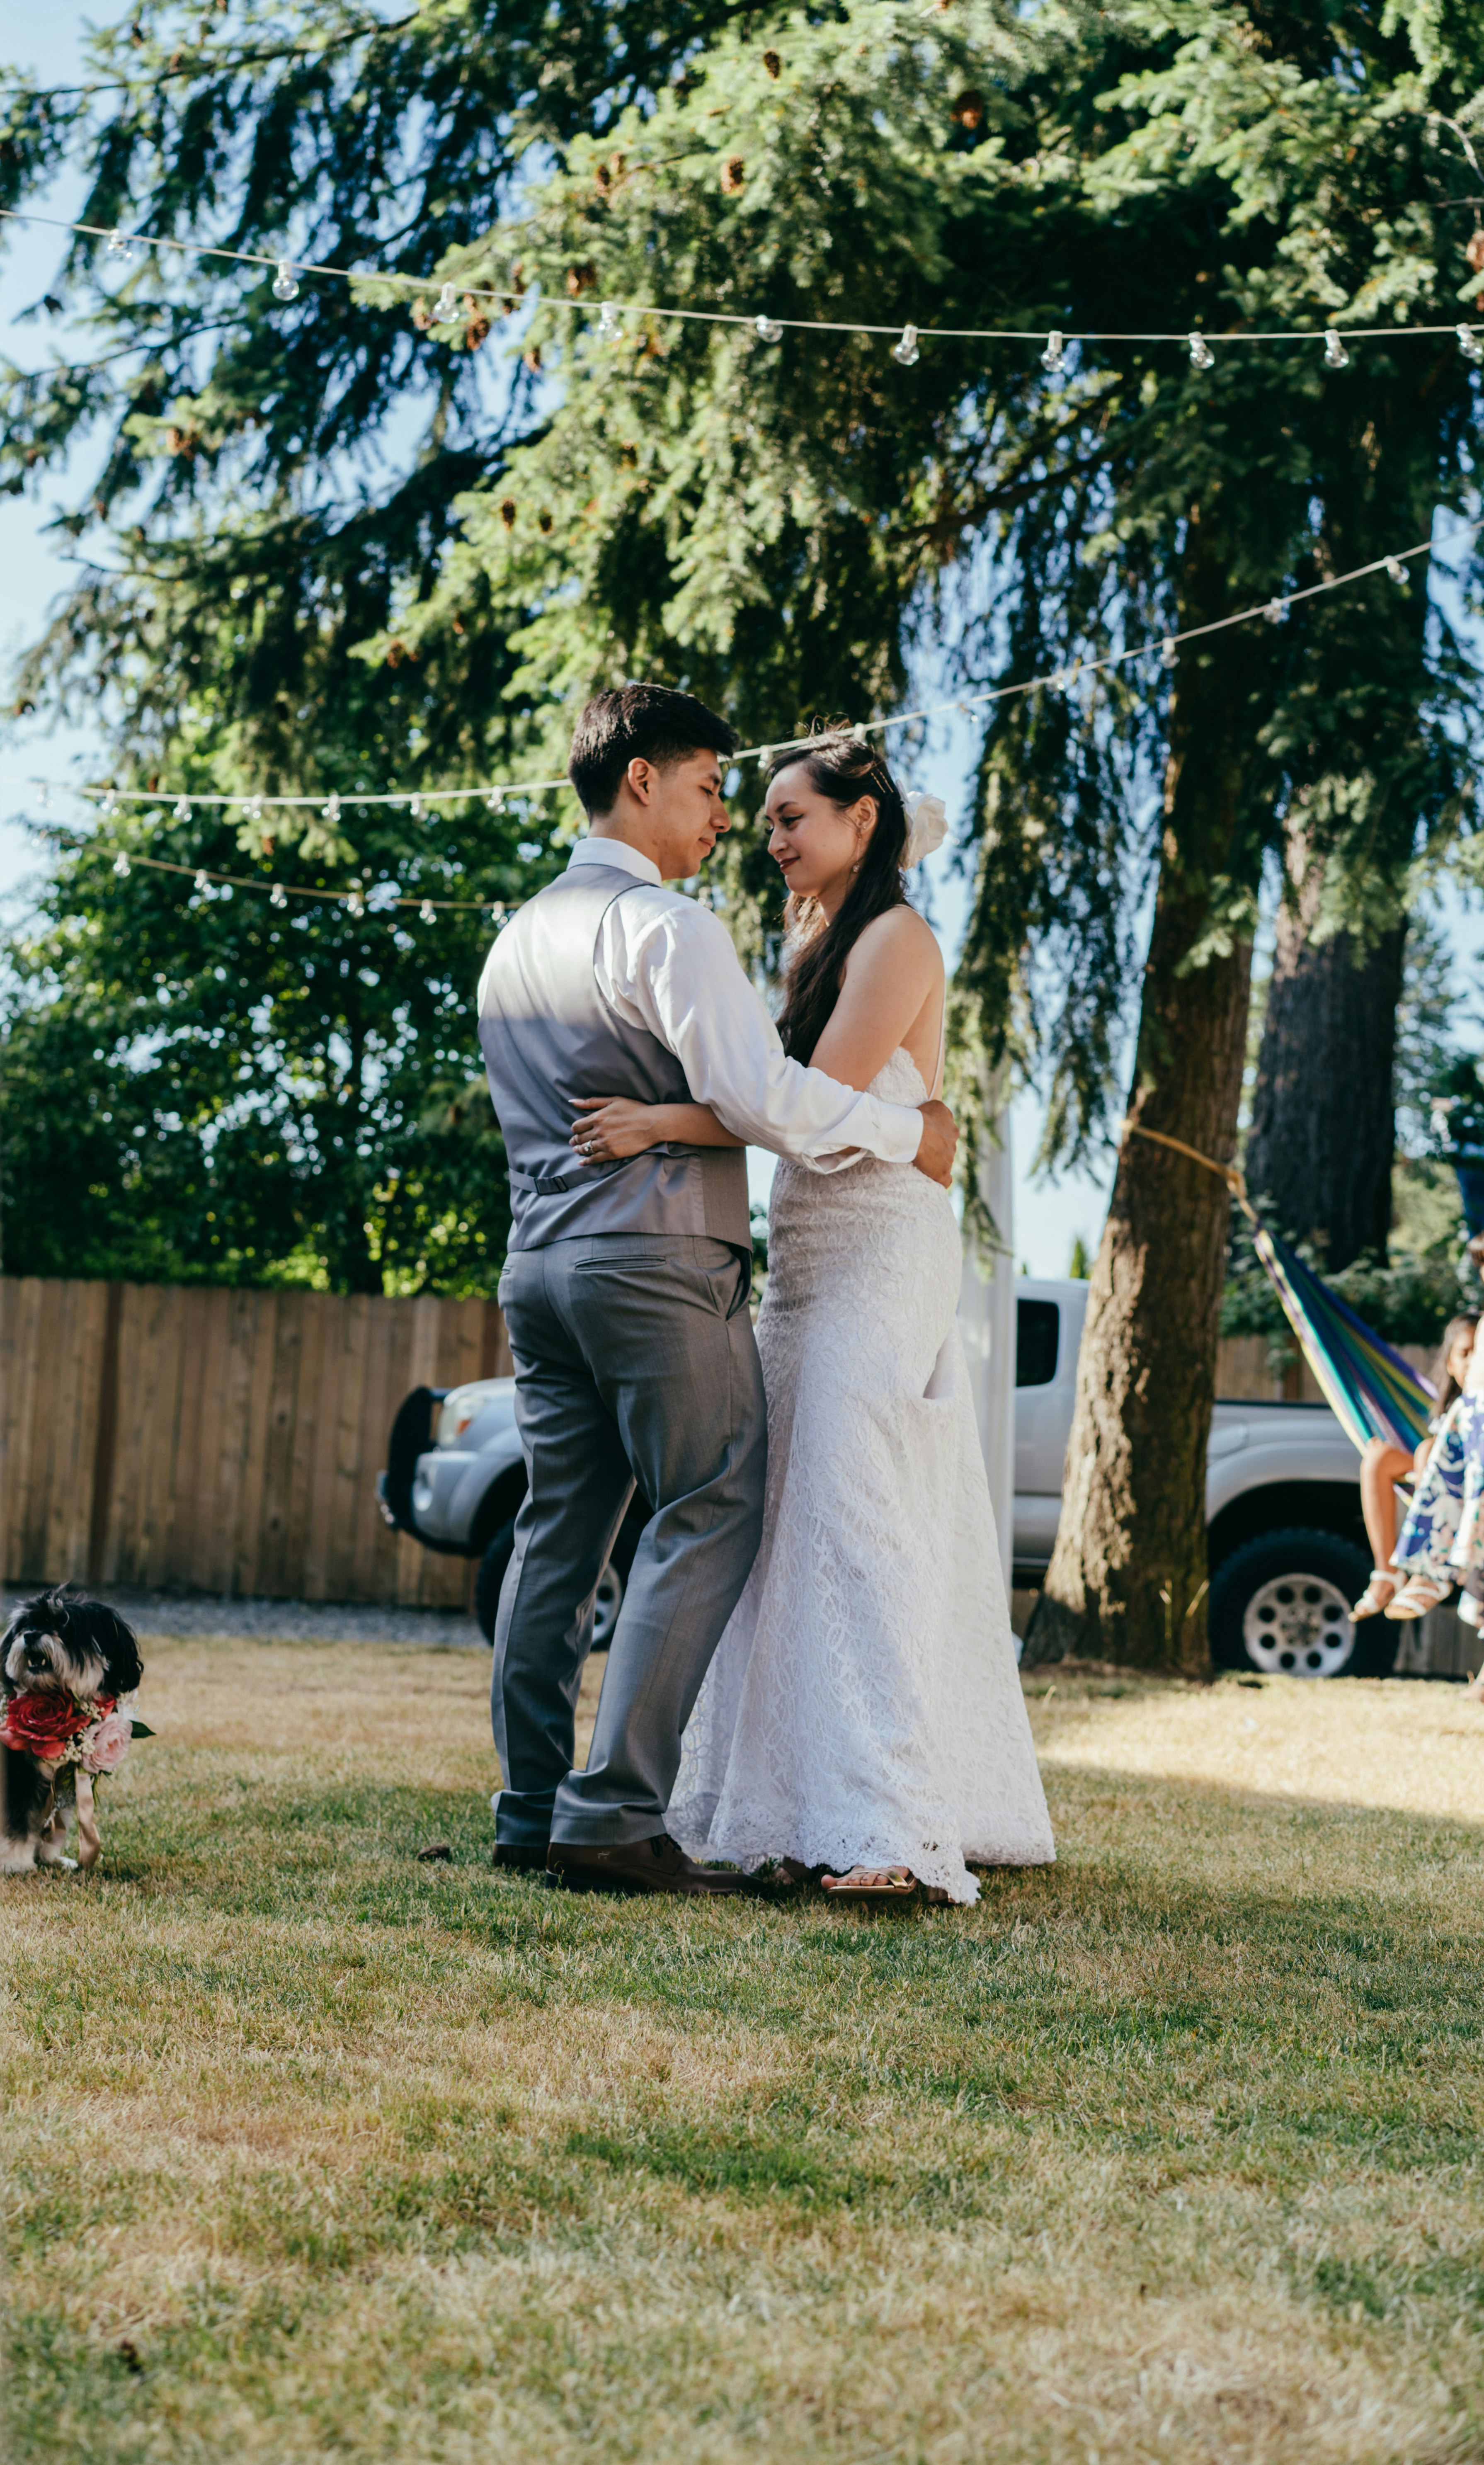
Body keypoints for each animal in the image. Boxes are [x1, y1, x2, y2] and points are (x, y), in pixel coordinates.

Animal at [2, 1587, 143, 1873]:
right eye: (27, 1624)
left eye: (63, 1625)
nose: (30, 1635)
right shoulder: (19, 1772)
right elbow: (19, 1821)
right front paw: (16, 1863)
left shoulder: (66, 1778)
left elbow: (56, 1819)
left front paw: (49, 1857)